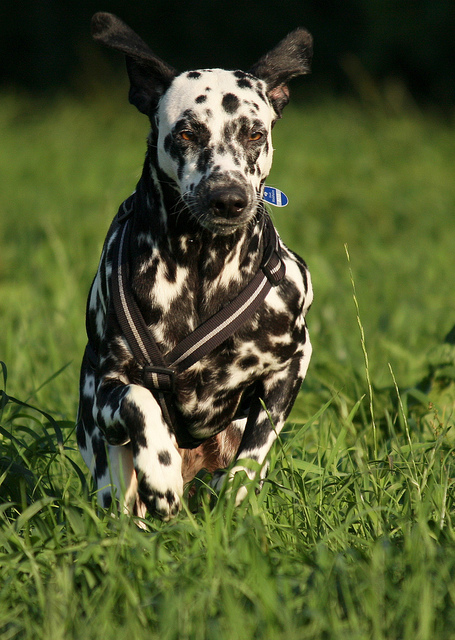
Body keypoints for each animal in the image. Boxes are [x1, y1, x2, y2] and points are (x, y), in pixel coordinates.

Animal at [77, 12, 314, 524]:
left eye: (255, 133)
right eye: (187, 133)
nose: (228, 198)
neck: (204, 263)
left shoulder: (291, 363)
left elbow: (258, 443)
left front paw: (237, 490)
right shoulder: (107, 386)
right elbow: (140, 399)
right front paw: (161, 469)